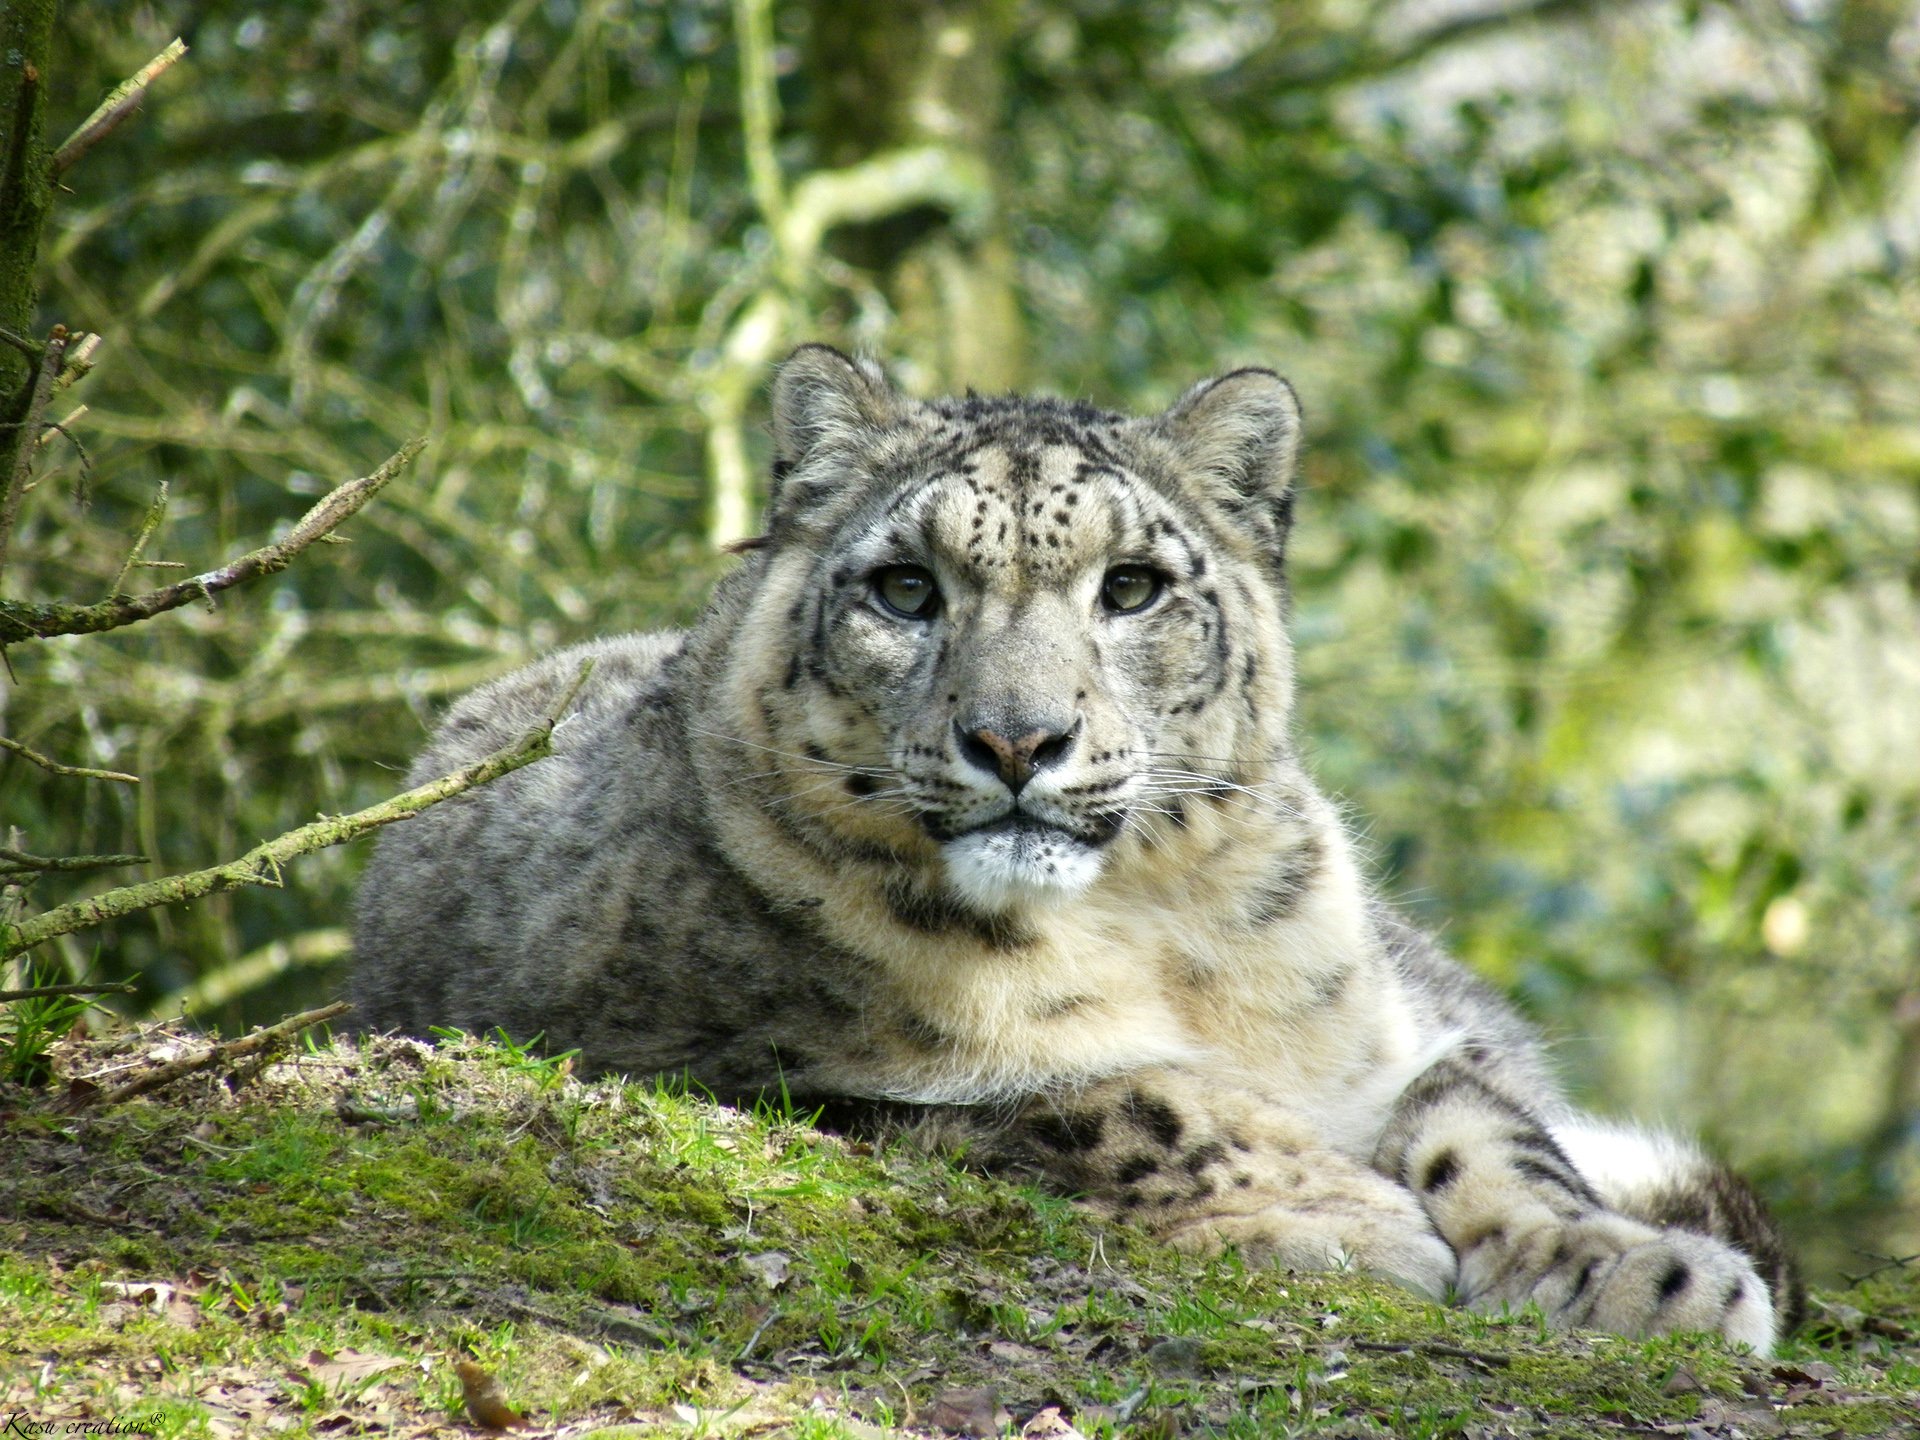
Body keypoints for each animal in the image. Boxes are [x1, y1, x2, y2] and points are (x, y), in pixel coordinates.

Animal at [357, 347, 1797, 1351]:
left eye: (1133, 587)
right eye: (905, 588)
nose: (1017, 738)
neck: (1163, 937)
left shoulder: (1399, 1038)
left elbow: (1497, 1134)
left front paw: (1635, 1271)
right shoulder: (745, 1057)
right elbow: (1112, 1098)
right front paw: (1345, 1217)